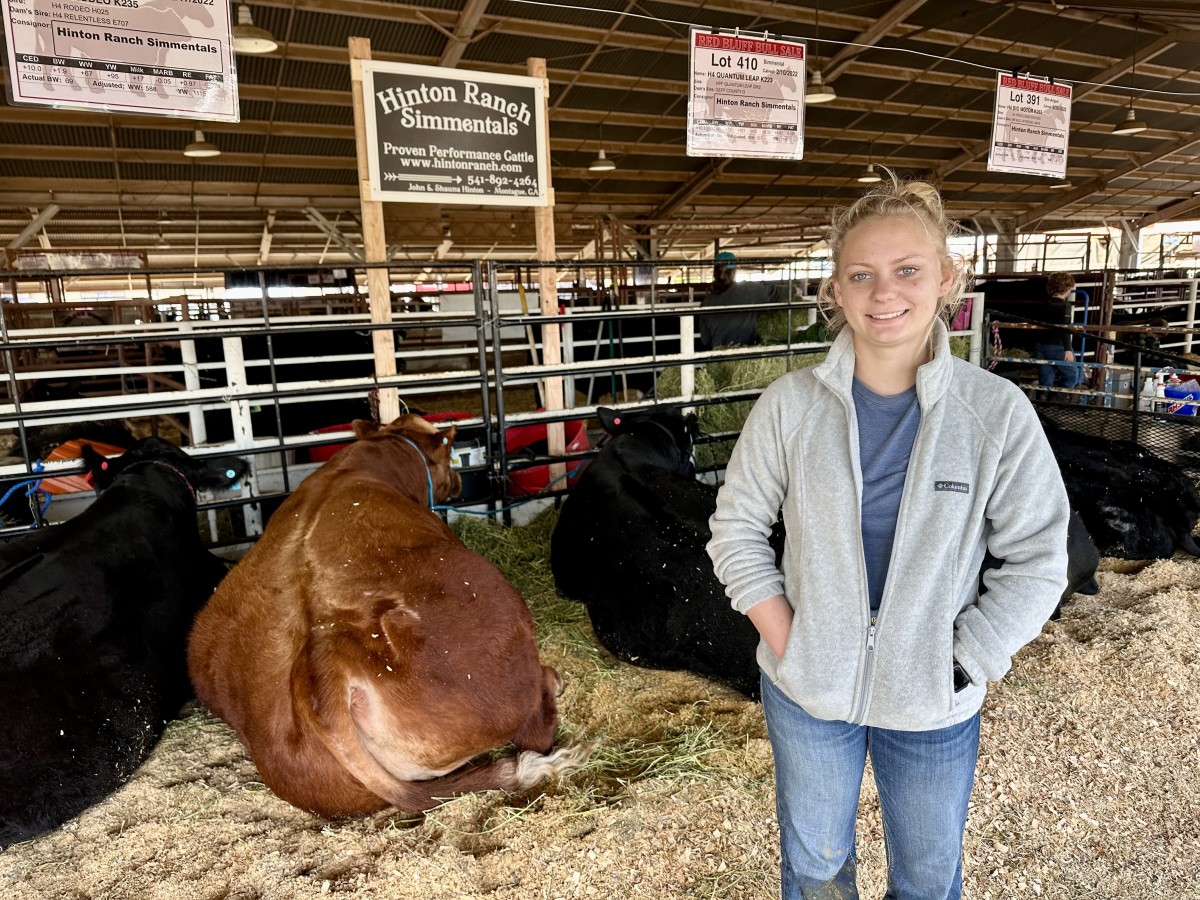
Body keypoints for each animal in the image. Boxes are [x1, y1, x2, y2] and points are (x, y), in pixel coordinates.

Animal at [183, 412, 590, 820]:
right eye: (448, 456)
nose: (458, 482)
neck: (379, 455)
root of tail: (327, 658)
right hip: (505, 636)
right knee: (536, 730)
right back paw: (551, 683)